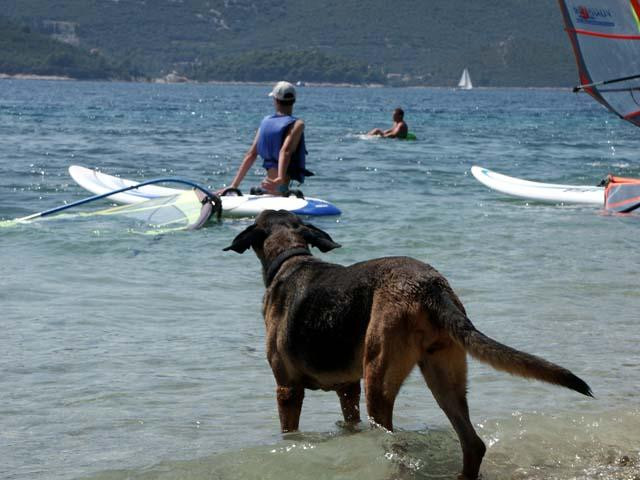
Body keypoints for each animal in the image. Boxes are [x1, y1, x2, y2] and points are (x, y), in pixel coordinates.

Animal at [224, 210, 592, 480]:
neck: (290, 257)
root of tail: (431, 285)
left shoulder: (287, 389)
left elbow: (290, 432)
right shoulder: (347, 389)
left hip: (379, 379)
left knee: (395, 445)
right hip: (444, 376)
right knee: (473, 443)